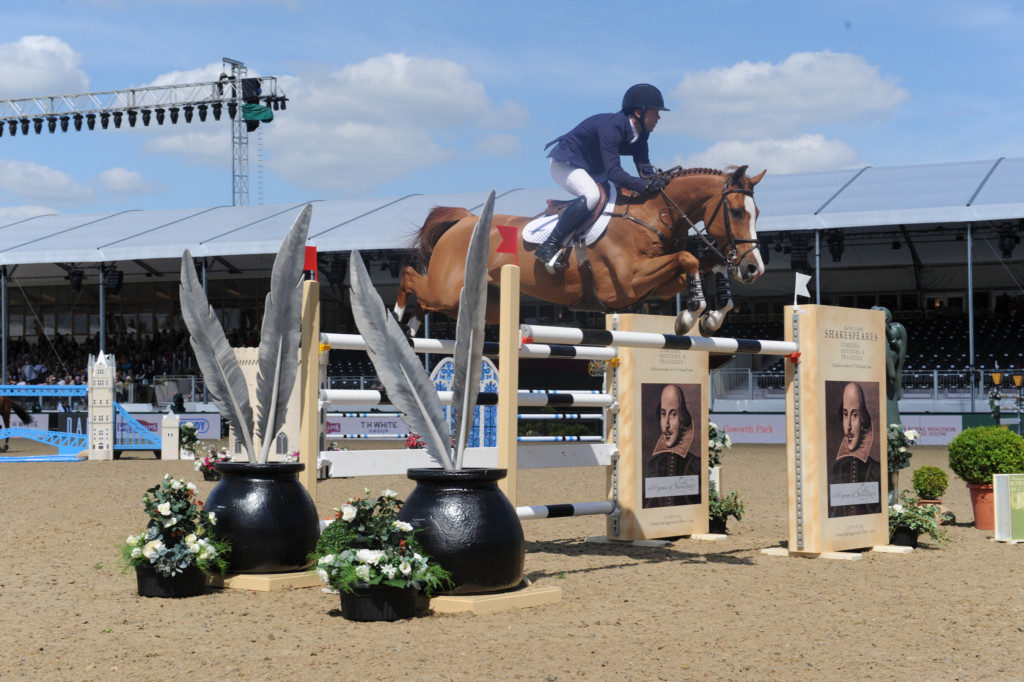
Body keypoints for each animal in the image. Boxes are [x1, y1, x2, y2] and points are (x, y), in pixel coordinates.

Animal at [399, 164, 770, 333]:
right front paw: (691, 315)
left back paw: (413, 327)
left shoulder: (655, 285)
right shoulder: (626, 283)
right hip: (447, 288)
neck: (651, 213)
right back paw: (401, 316)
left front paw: (712, 316)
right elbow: (689, 257)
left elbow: (697, 262)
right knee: (410, 276)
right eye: (737, 212)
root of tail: (465, 220)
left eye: (757, 213)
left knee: (430, 302)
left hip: (478, 303)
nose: (754, 269)